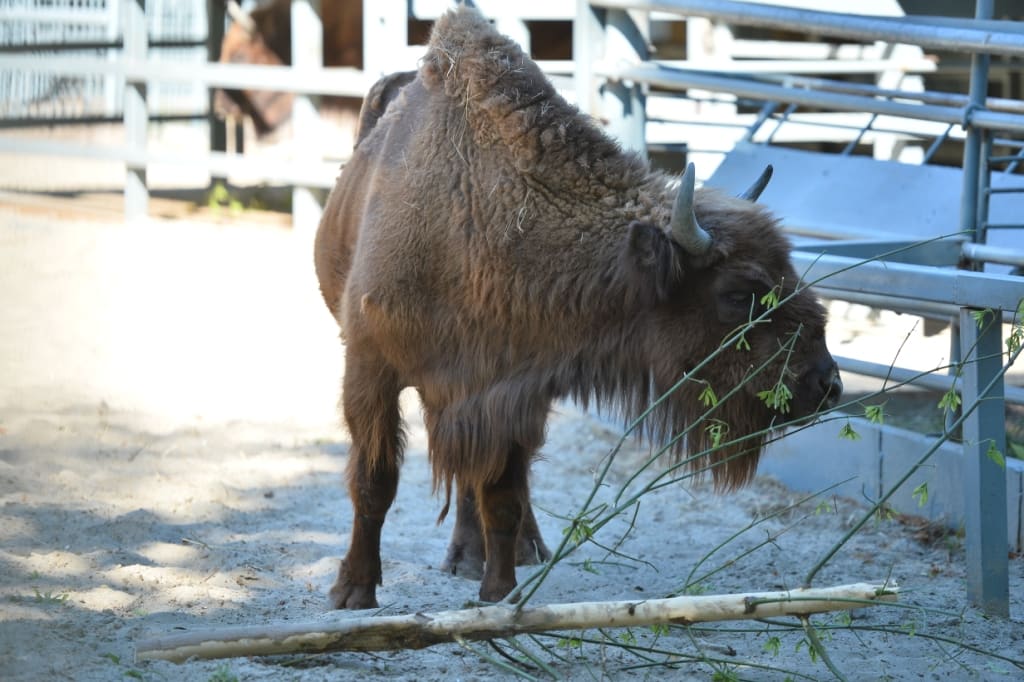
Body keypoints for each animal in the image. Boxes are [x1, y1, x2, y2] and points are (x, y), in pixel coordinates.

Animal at [311, 7, 839, 606]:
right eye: (738, 293)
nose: (826, 383)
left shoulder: (512, 388)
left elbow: (502, 492)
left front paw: (499, 595)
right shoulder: (371, 368)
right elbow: (375, 481)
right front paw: (353, 590)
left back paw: (503, 553)